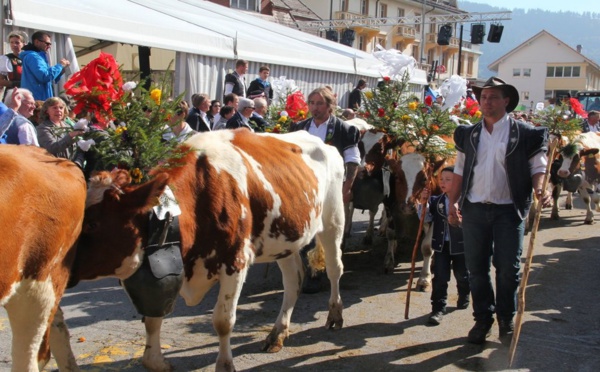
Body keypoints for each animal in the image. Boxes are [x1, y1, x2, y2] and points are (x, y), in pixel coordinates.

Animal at [66, 130, 344, 372]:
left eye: (92, 224)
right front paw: (155, 361)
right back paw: (277, 334)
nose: (57, 261)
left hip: (333, 220)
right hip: (284, 240)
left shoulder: (236, 261)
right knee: (293, 281)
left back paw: (335, 315)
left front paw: (225, 365)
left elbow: (222, 321)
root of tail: (323, 142)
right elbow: (154, 317)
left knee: (334, 269)